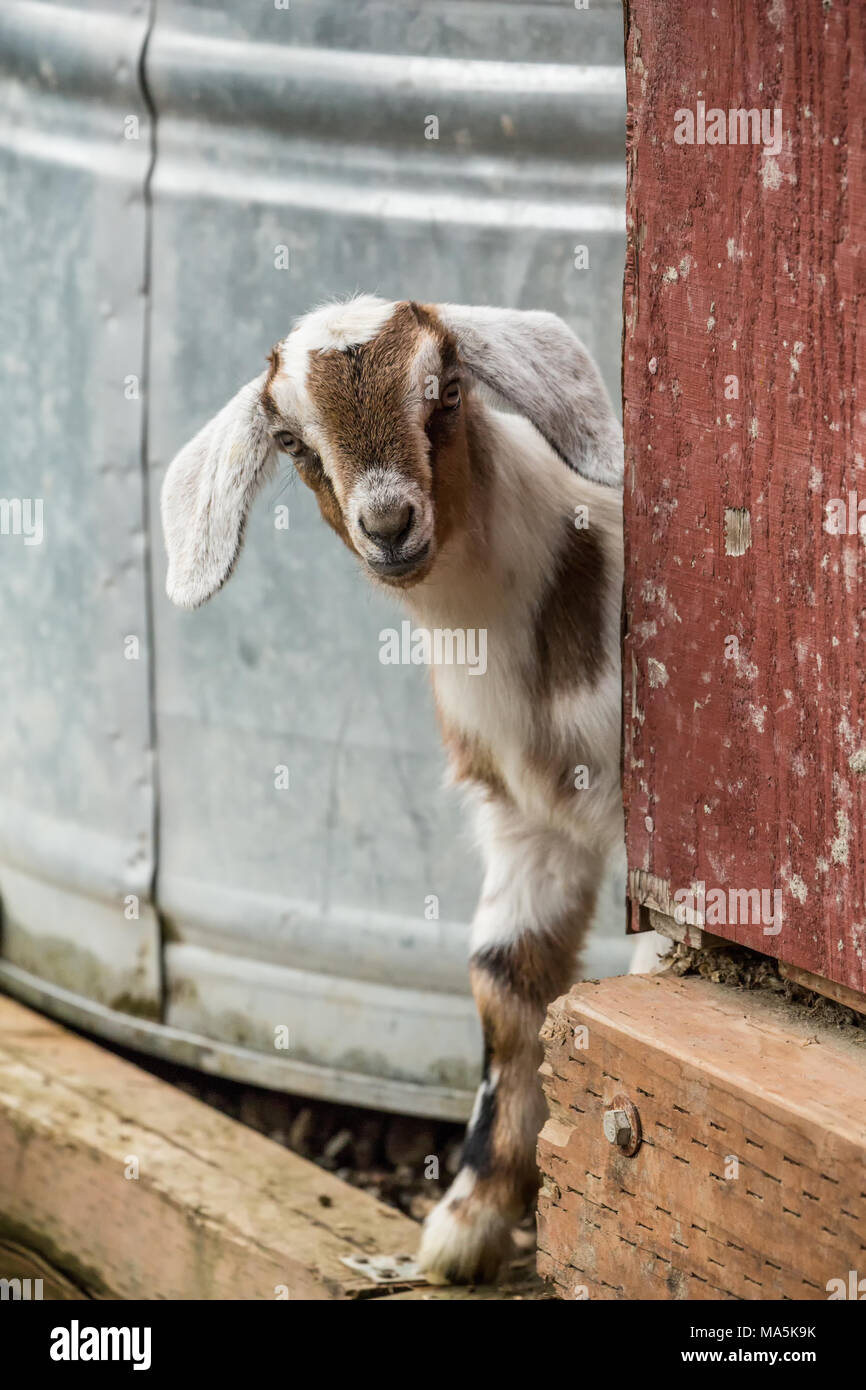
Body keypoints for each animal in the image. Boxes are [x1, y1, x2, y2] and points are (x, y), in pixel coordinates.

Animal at [161, 298, 622, 1284]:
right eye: (290, 440)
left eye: (445, 391)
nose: (389, 522)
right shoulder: (527, 822)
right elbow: (505, 989)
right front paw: (468, 1224)